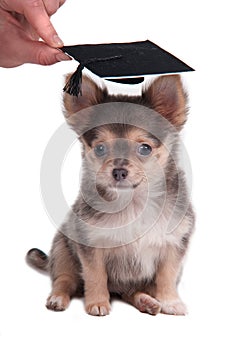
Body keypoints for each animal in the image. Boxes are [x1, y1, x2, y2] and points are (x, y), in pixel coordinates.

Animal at [26, 74, 195, 318]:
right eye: (100, 149)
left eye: (145, 148)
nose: (119, 171)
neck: (132, 202)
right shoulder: (91, 245)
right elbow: (95, 275)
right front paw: (97, 303)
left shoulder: (174, 244)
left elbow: (167, 275)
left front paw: (170, 301)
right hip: (62, 250)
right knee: (64, 280)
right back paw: (57, 298)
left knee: (130, 292)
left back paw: (147, 301)